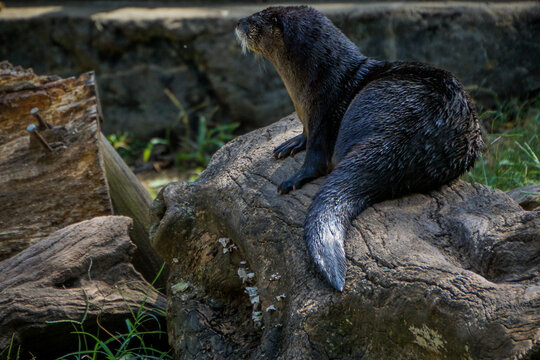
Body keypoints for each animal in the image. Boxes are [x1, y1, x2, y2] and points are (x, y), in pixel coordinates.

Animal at [236, 6, 486, 292]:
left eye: (255, 20)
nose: (238, 22)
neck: (315, 85)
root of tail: (410, 138)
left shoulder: (324, 111)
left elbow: (317, 156)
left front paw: (294, 177)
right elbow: (306, 136)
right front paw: (291, 142)